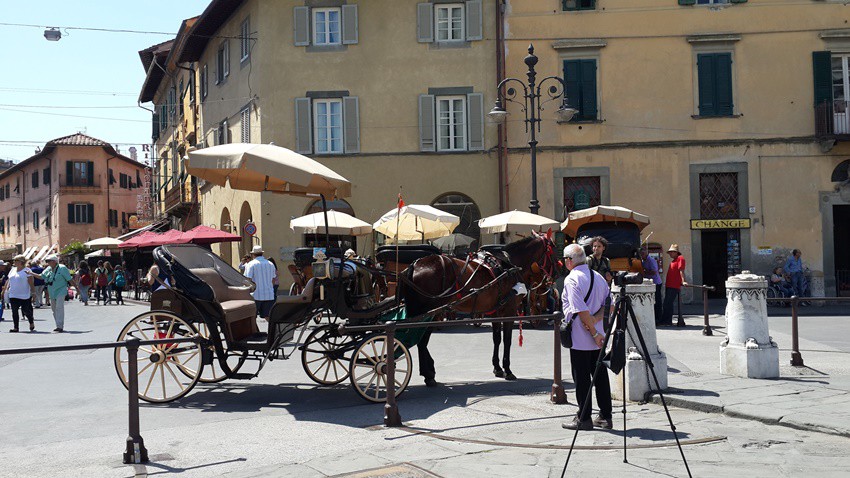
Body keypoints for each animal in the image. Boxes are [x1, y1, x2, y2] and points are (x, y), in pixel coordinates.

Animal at [396, 232, 556, 384]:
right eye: (552, 250)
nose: (557, 273)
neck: (509, 266)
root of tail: (416, 264)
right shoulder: (508, 311)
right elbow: (507, 340)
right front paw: (508, 370)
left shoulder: (496, 312)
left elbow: (497, 339)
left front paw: (497, 368)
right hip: (431, 313)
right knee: (422, 342)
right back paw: (429, 374)